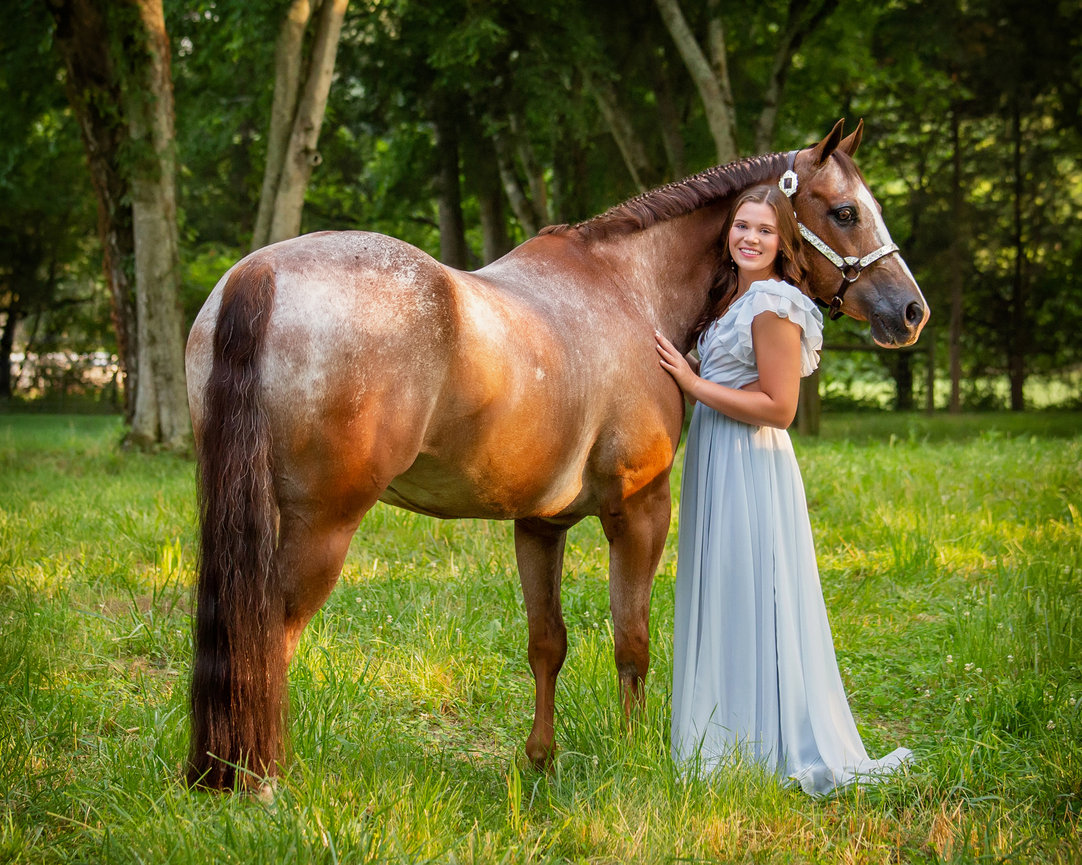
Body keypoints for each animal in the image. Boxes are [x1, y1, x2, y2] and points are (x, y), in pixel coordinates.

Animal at [184, 119, 929, 790]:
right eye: (845, 211)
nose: (911, 311)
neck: (628, 288)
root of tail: (261, 271)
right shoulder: (639, 511)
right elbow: (632, 637)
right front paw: (635, 756)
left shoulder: (539, 524)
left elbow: (548, 642)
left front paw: (540, 758)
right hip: (322, 525)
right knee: (270, 638)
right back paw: (262, 780)